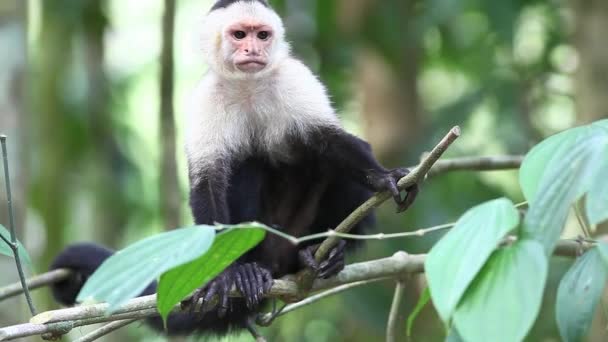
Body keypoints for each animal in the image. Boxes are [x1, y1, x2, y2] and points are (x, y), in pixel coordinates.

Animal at [50, 0, 418, 336]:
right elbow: (208, 180)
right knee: (247, 165)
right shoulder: (205, 99)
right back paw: (249, 271)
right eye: (239, 34)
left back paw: (321, 253)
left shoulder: (295, 77)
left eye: (262, 35)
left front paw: (384, 177)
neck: (248, 85)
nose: (253, 48)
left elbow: (330, 141)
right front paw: (225, 274)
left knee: (321, 161)